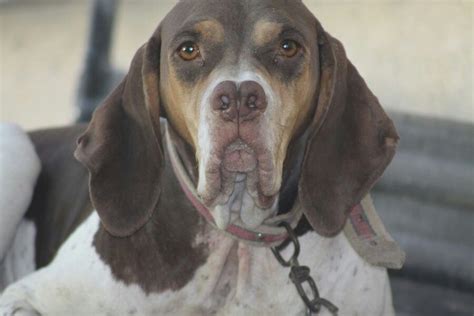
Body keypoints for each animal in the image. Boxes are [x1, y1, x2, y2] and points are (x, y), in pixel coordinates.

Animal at [0, 1, 402, 314]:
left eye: (288, 46)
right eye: (189, 50)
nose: (239, 98)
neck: (236, 241)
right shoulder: (24, 296)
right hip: (18, 145)